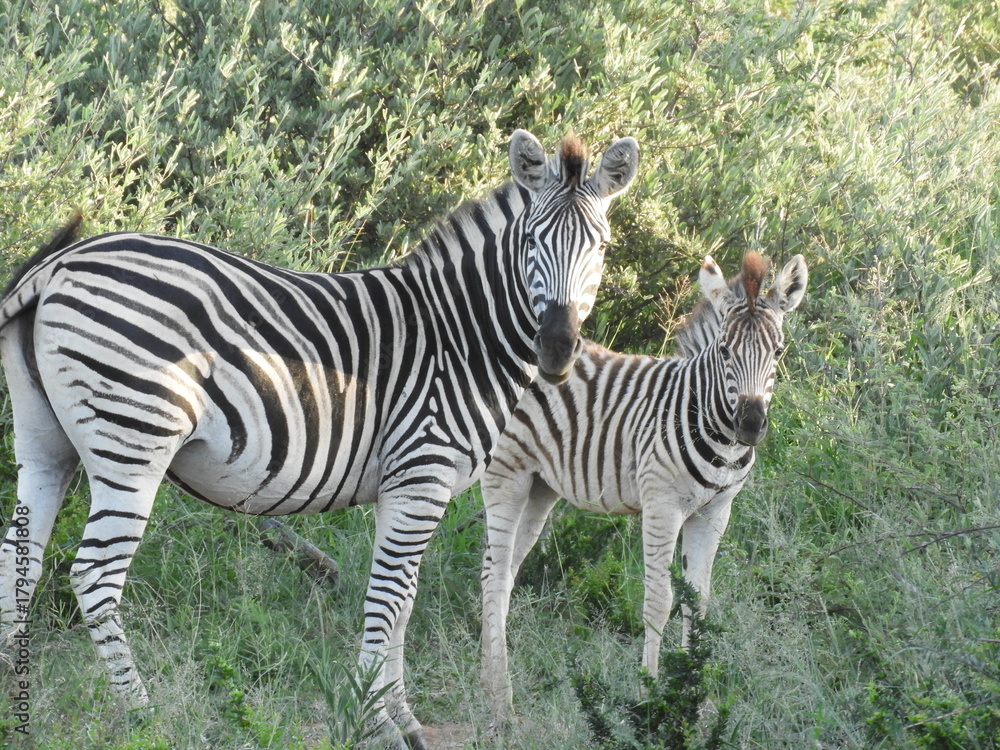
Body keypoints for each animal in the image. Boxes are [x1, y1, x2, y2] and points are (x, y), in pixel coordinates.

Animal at [0, 129, 639, 749]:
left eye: (602, 248)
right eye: (531, 241)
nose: (556, 349)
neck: (463, 335)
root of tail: (61, 262)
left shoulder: (401, 485)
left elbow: (403, 598)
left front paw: (397, 716)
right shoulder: (423, 471)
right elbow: (390, 596)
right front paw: (379, 723)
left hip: (44, 443)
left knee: (18, 562)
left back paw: (14, 703)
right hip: (134, 437)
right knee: (94, 576)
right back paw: (141, 715)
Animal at [479, 252, 807, 730]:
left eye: (778, 352)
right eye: (724, 350)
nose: (750, 425)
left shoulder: (714, 513)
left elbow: (698, 604)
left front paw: (697, 701)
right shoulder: (662, 506)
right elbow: (660, 600)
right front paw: (651, 698)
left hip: (540, 487)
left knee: (500, 574)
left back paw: (488, 682)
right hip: (507, 474)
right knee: (494, 574)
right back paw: (501, 703)